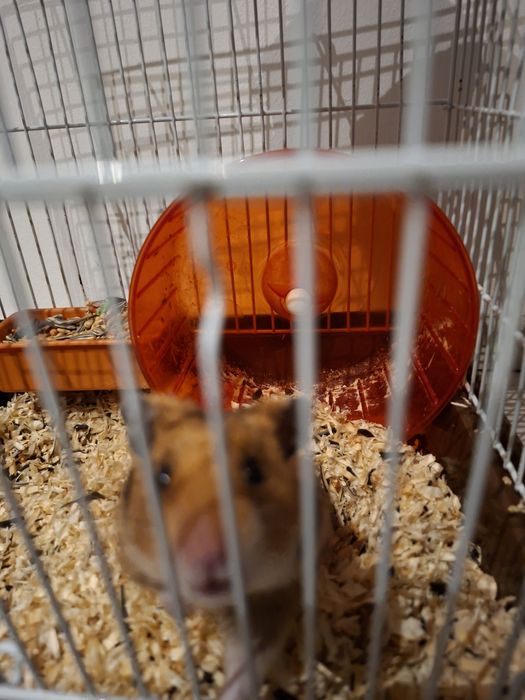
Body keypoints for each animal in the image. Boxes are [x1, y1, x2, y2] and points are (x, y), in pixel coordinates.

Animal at [119, 393, 331, 699]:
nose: (205, 558)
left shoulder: (274, 594)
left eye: (254, 472)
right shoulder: (137, 557)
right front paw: (183, 612)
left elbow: (247, 658)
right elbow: (167, 591)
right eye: (162, 477)